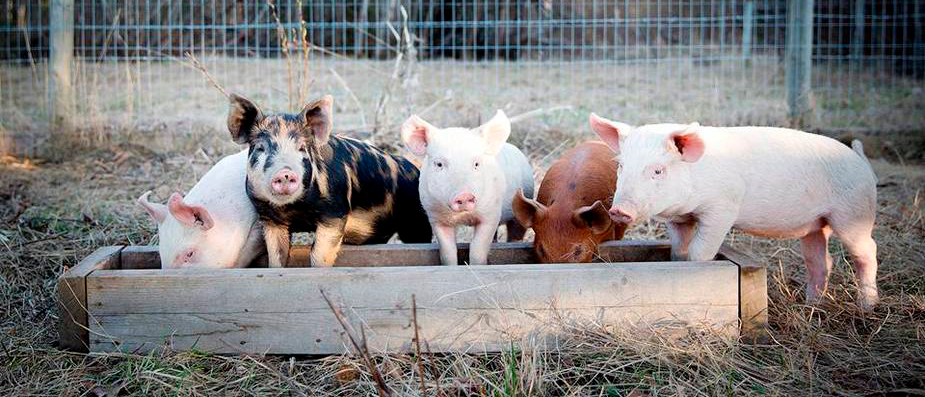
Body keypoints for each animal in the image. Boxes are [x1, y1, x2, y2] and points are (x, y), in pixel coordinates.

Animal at [226, 93, 432, 266]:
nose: (285, 172)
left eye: (301, 148)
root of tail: (413, 167)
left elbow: (318, 254)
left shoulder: (335, 211)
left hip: (416, 217)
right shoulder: (269, 219)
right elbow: (276, 257)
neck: (296, 209)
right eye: (260, 148)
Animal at [402, 110, 536, 264]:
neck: (464, 217)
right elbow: (447, 252)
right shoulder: (435, 216)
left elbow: (477, 249)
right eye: (439, 164)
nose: (464, 194)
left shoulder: (491, 213)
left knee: (515, 234)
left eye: (476, 163)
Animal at [592, 113, 880, 308]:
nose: (619, 210)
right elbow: (679, 251)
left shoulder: (722, 209)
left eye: (658, 170)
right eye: (621, 166)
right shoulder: (679, 219)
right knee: (820, 260)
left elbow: (699, 251)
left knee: (867, 251)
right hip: (816, 225)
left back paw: (866, 306)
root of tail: (861, 162)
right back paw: (811, 304)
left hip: (853, 214)